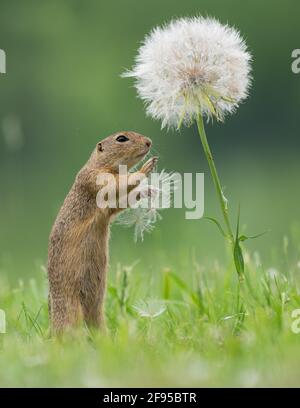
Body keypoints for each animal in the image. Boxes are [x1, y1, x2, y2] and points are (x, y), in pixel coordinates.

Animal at [47, 131, 157, 334]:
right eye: (121, 138)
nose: (149, 142)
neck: (99, 163)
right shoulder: (95, 178)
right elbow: (116, 185)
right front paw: (145, 169)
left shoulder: (109, 206)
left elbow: (119, 201)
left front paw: (148, 190)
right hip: (71, 311)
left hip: (97, 312)